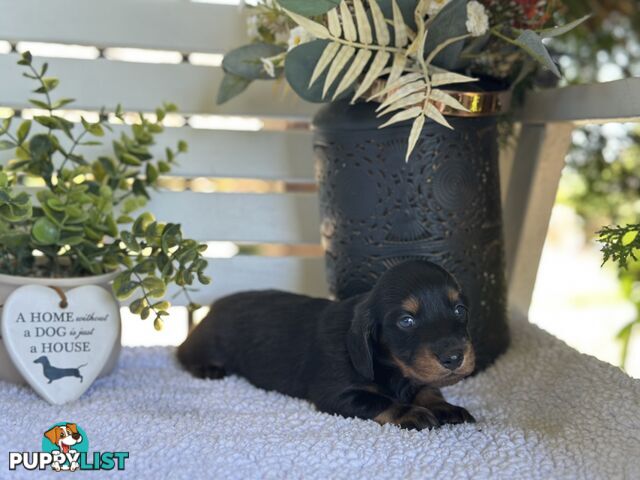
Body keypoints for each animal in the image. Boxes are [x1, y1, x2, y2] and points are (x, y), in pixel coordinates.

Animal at [179, 260, 476, 430]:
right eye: (406, 320)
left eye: (460, 310)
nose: (454, 357)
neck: (391, 368)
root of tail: (214, 306)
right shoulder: (338, 393)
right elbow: (381, 400)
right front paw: (412, 413)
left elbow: (429, 390)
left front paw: (445, 407)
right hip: (205, 344)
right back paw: (208, 369)